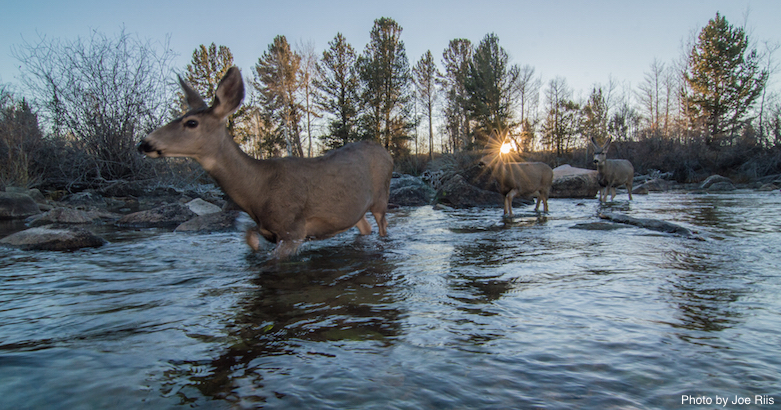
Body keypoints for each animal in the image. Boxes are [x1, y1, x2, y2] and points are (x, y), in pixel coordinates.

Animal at [138, 68, 394, 258]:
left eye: (191, 123)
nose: (144, 143)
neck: (258, 189)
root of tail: (387, 153)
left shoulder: (293, 229)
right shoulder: (268, 229)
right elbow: (249, 237)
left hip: (381, 197)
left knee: (382, 228)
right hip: (353, 211)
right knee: (365, 228)